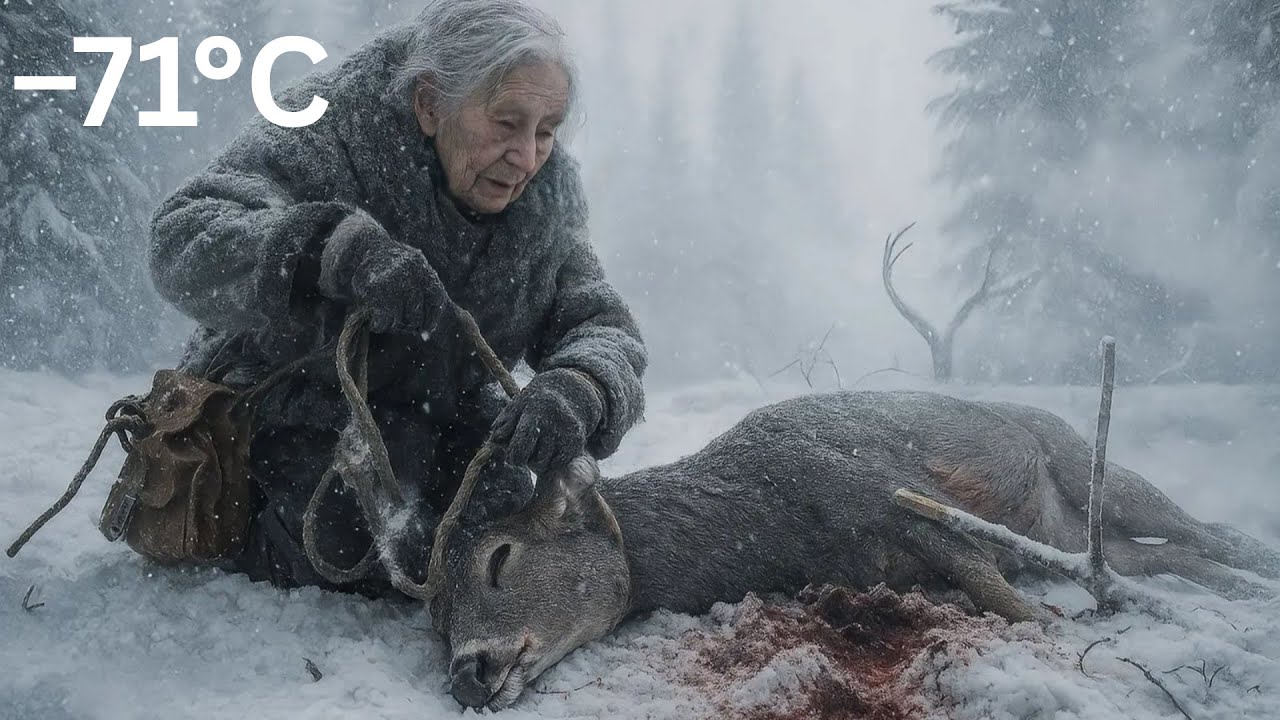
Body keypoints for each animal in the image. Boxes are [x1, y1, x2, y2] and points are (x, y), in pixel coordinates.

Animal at [429, 389, 1280, 711]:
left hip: (1086, 465)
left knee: (1208, 532)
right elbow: (990, 591)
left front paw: (1065, 639)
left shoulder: (897, 491)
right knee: (1169, 557)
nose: (468, 673)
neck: (775, 519)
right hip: (1079, 532)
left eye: (499, 558)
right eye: (436, 621)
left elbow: (1006, 601)